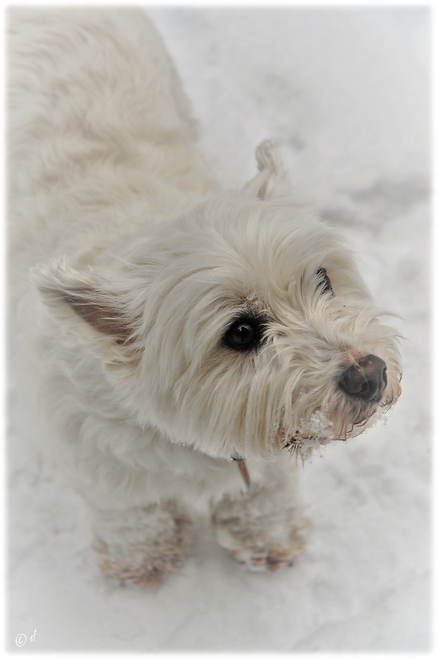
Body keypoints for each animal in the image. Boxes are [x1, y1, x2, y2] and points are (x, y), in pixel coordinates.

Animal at [8, 9, 402, 588]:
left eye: (324, 279)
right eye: (241, 332)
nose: (369, 375)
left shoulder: (267, 448)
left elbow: (264, 493)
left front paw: (267, 539)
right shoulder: (104, 473)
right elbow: (133, 517)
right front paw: (141, 563)